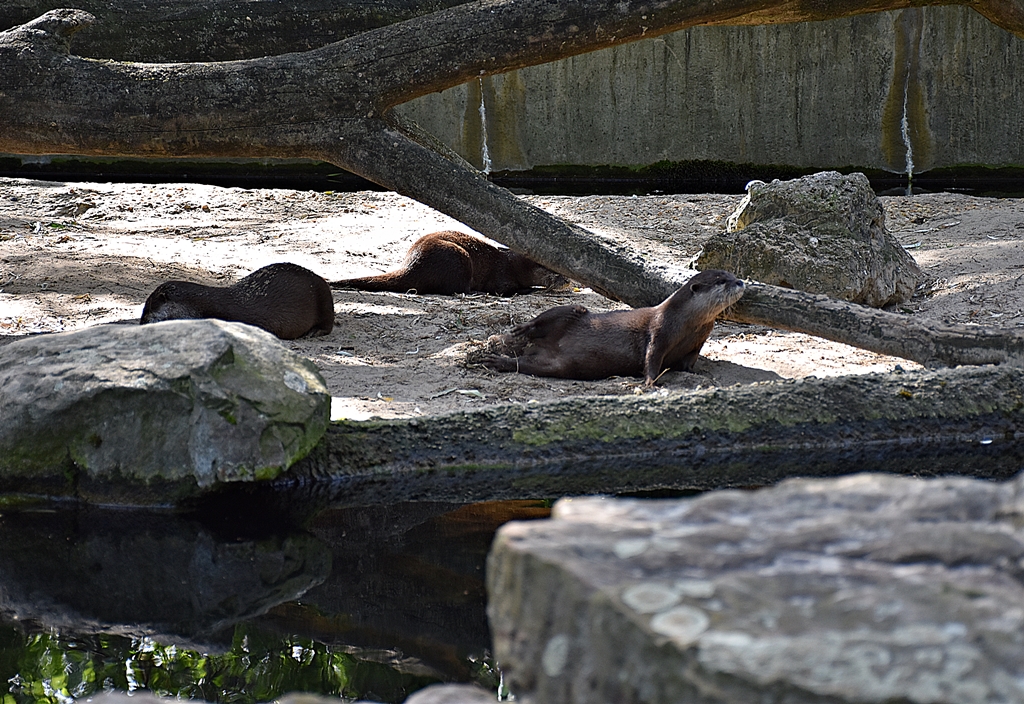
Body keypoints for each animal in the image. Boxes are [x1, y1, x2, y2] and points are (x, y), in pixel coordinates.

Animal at [330, 230, 566, 296]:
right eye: (554, 269)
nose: (565, 280)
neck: (512, 265)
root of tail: (411, 264)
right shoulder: (502, 277)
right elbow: (506, 290)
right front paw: (532, 289)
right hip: (458, 257)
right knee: (455, 289)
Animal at [481, 269, 744, 384]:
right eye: (722, 281)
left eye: (732, 274)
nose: (741, 281)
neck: (686, 323)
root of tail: (538, 347)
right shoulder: (660, 330)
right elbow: (651, 356)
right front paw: (650, 382)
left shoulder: (697, 343)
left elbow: (689, 362)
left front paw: (695, 373)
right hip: (573, 310)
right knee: (546, 318)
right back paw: (521, 331)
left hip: (556, 365)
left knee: (527, 365)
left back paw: (500, 361)